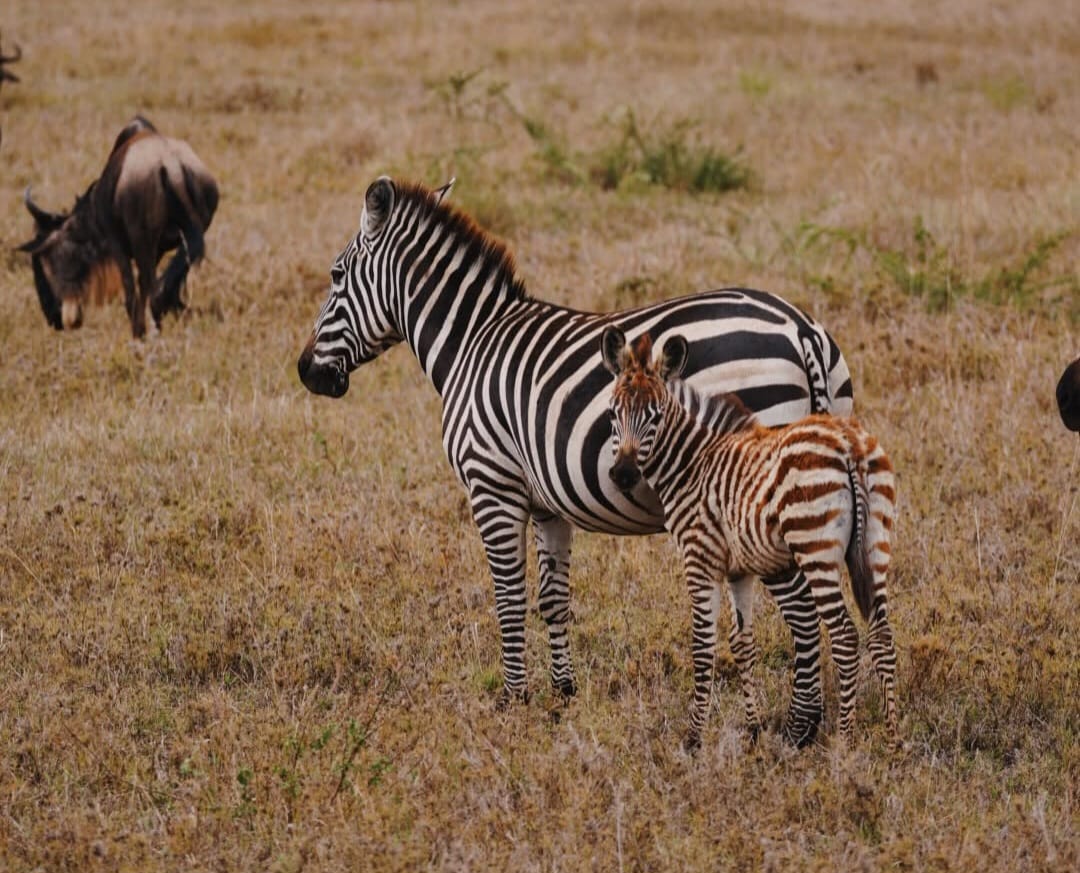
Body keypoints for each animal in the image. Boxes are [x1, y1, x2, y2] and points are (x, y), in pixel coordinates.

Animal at [297, 175, 854, 743]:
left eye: (336, 275)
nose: (306, 373)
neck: (471, 344)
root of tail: (799, 327)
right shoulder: (548, 504)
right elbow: (553, 598)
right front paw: (562, 693)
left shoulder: (491, 486)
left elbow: (509, 597)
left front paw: (513, 700)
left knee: (803, 607)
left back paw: (801, 727)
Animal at [600, 326, 898, 751]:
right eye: (613, 414)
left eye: (654, 417)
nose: (623, 474)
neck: (692, 463)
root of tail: (847, 445)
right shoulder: (739, 570)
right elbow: (743, 644)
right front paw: (754, 731)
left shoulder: (700, 558)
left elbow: (703, 646)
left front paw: (694, 738)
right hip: (876, 544)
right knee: (882, 633)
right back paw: (893, 741)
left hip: (815, 547)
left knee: (843, 635)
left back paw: (844, 741)